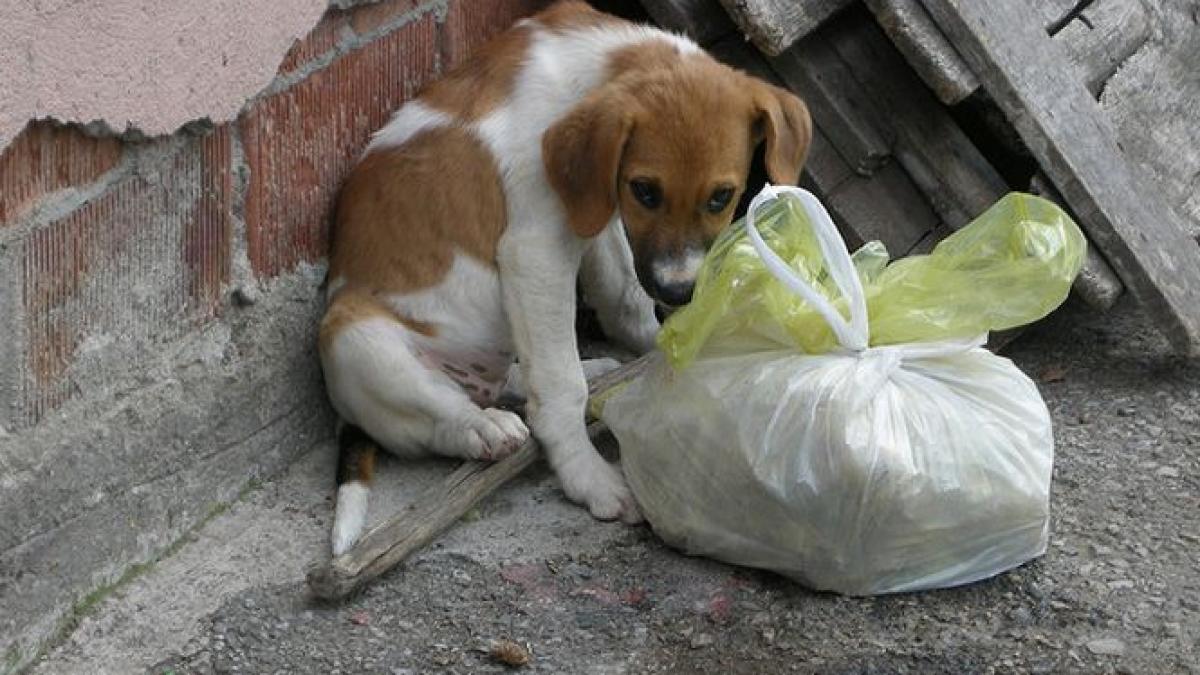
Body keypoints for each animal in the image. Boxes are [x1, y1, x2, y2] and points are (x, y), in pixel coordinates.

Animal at [319, 1, 811, 552]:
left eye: (720, 197)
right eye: (645, 191)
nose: (677, 291)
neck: (595, 67)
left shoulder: (595, 216)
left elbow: (623, 299)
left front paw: (665, 345)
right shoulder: (537, 250)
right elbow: (559, 386)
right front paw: (588, 477)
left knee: (509, 379)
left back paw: (586, 369)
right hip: (354, 336)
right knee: (436, 418)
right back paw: (483, 429)